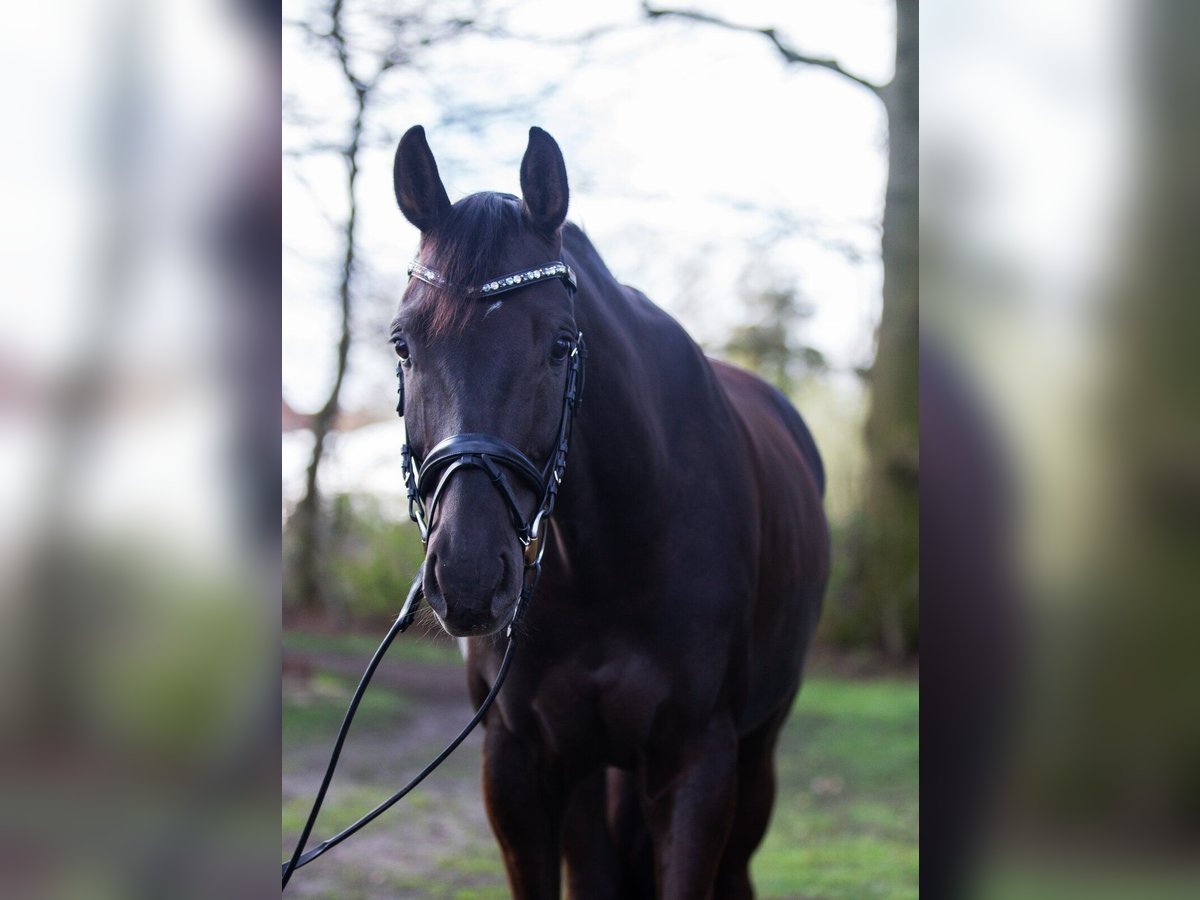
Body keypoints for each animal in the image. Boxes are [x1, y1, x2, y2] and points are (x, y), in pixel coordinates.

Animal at [388, 125, 829, 900]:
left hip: (756, 752)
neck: (607, 559)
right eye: (403, 343)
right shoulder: (517, 762)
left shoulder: (697, 762)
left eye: (561, 343)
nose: (468, 576)